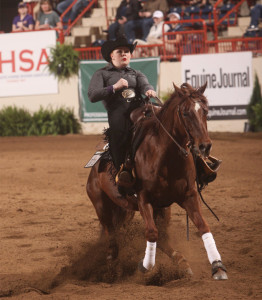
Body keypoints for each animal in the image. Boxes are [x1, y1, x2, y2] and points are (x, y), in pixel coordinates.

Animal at [86, 81, 227, 278]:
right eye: (185, 113)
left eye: (205, 111)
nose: (204, 146)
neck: (166, 156)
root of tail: (94, 169)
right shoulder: (143, 199)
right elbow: (151, 233)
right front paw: (146, 266)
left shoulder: (189, 195)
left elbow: (203, 226)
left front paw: (217, 266)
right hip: (102, 208)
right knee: (112, 242)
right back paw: (111, 269)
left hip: (161, 209)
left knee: (163, 239)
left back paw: (182, 262)